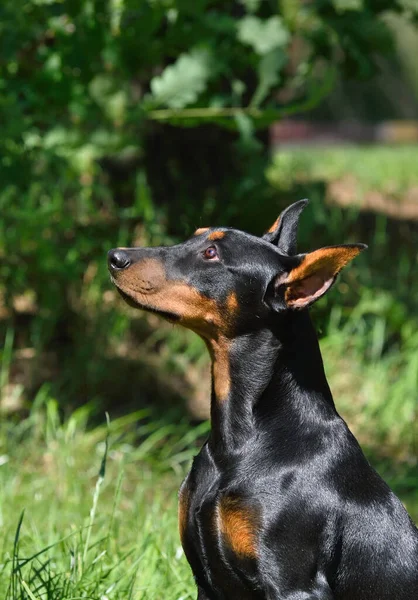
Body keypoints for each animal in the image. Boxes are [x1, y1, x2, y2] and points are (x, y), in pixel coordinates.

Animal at [108, 202, 418, 600]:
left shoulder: (293, 584)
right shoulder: (206, 581)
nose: (115, 257)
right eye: (195, 237)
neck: (240, 441)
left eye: (211, 254)